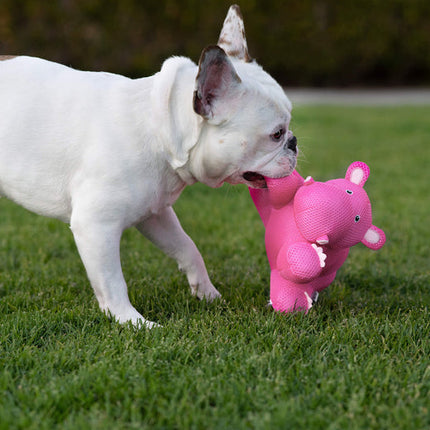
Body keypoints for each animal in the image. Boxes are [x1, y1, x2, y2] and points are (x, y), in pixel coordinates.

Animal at [0, 5, 296, 328]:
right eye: (276, 134)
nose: (294, 142)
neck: (159, 128)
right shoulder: (95, 226)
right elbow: (113, 282)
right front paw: (133, 323)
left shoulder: (155, 213)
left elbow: (188, 248)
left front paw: (207, 293)